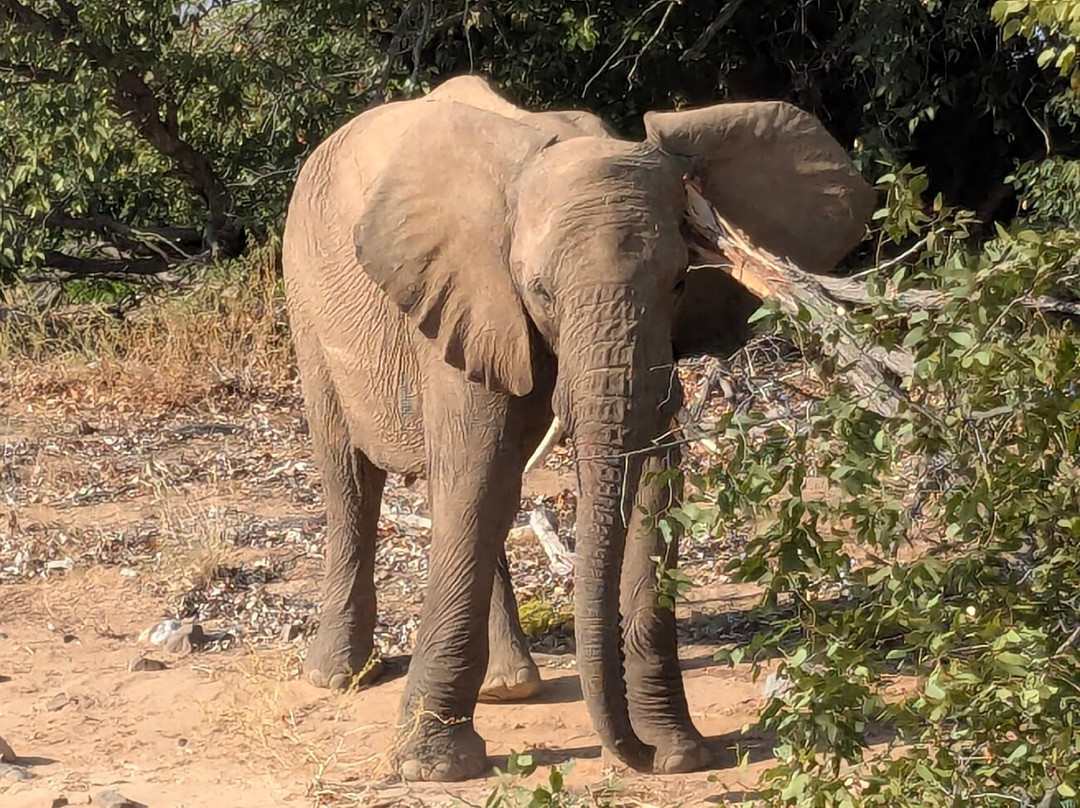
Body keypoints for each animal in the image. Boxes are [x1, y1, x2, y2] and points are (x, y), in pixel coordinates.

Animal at [281, 74, 875, 782]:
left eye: (681, 281)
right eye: (539, 290)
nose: (640, 755)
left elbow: (653, 490)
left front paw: (682, 752)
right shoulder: (472, 295)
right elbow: (478, 476)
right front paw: (433, 770)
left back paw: (512, 686)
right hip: (307, 297)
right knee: (353, 476)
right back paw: (339, 677)